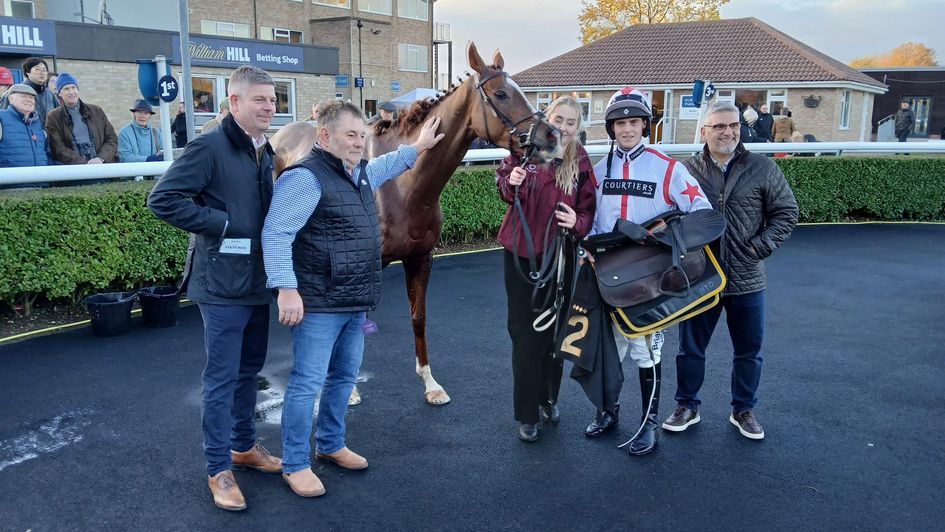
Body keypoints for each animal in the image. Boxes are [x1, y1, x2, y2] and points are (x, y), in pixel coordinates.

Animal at [268, 41, 560, 406]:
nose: (551, 137)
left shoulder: (420, 259)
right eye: (501, 93)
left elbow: (418, 318)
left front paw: (430, 383)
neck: (402, 186)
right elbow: (351, 322)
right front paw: (349, 390)